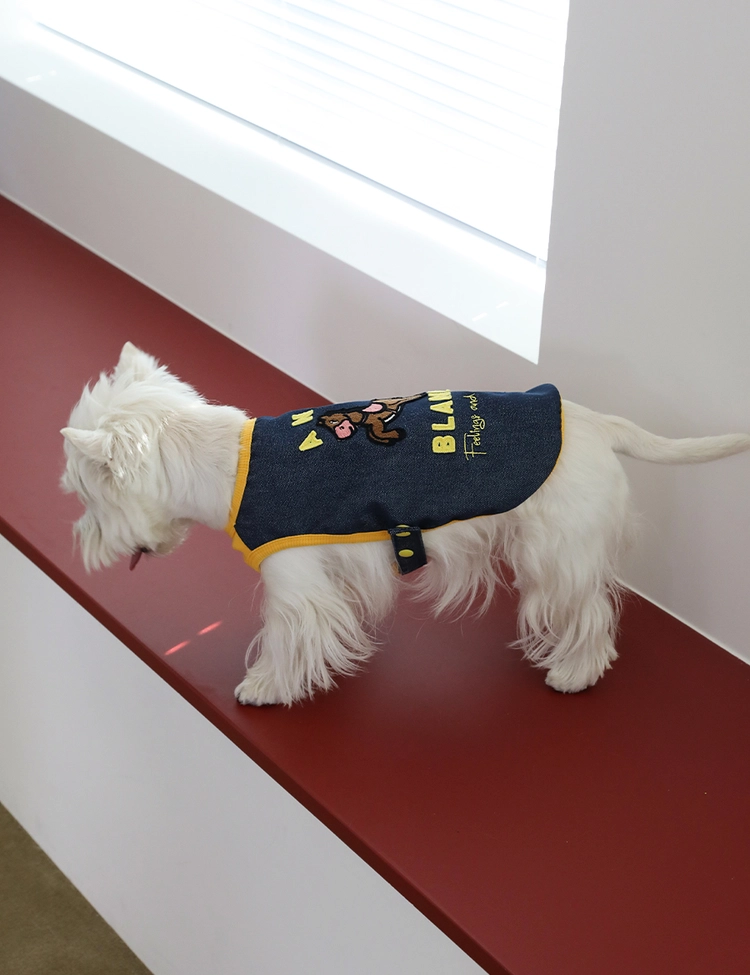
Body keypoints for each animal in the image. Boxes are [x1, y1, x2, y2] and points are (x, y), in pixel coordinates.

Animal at [60, 343, 750, 705]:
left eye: (84, 498)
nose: (81, 545)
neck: (225, 466)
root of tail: (599, 424)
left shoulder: (293, 580)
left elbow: (288, 637)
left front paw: (264, 685)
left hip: (558, 550)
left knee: (589, 613)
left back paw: (574, 671)